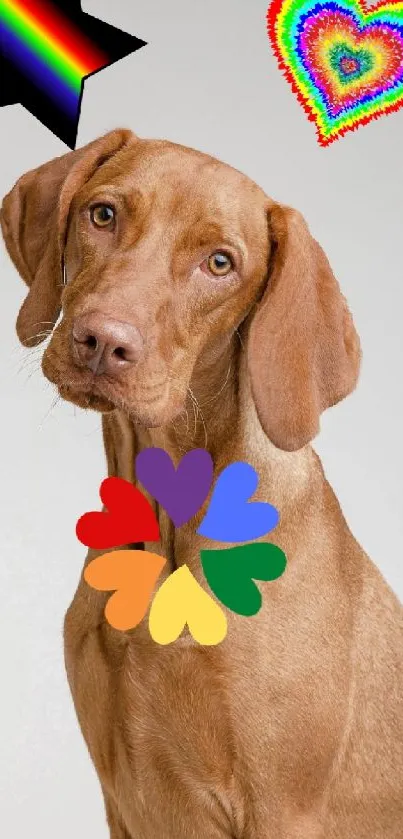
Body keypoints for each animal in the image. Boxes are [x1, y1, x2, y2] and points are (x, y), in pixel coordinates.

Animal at [1, 126, 402, 839]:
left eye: (220, 263)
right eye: (102, 214)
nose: (102, 342)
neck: (166, 542)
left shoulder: (282, 812)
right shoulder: (120, 799)